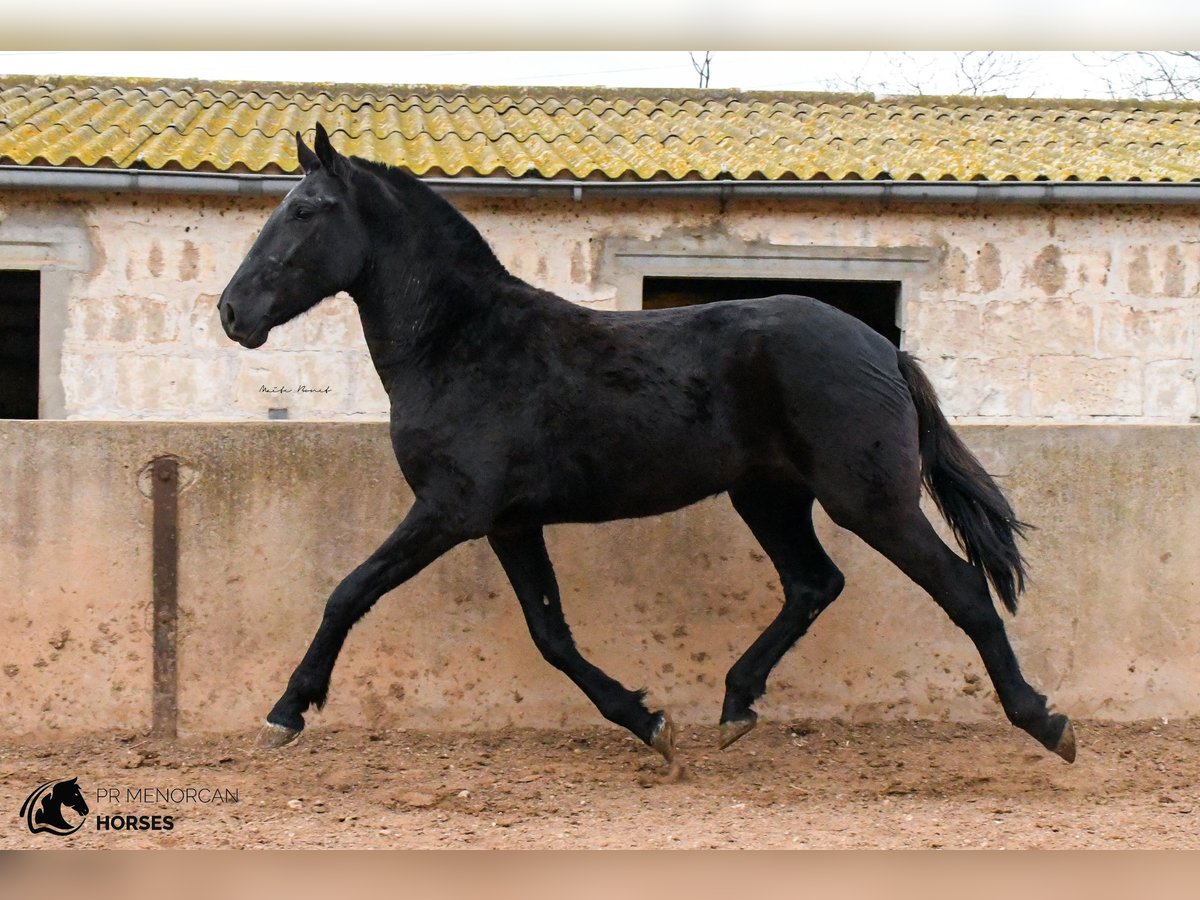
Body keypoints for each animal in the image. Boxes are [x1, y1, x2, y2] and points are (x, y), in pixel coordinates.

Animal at [218, 125, 1080, 768]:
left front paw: (286, 712)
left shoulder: (451, 510)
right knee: (813, 583)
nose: (232, 313)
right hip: (768, 496)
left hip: (868, 500)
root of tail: (882, 348)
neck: (462, 343)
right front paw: (649, 721)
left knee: (960, 588)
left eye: (307, 209)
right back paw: (734, 706)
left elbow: (348, 592)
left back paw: (1046, 722)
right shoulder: (507, 521)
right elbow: (551, 634)